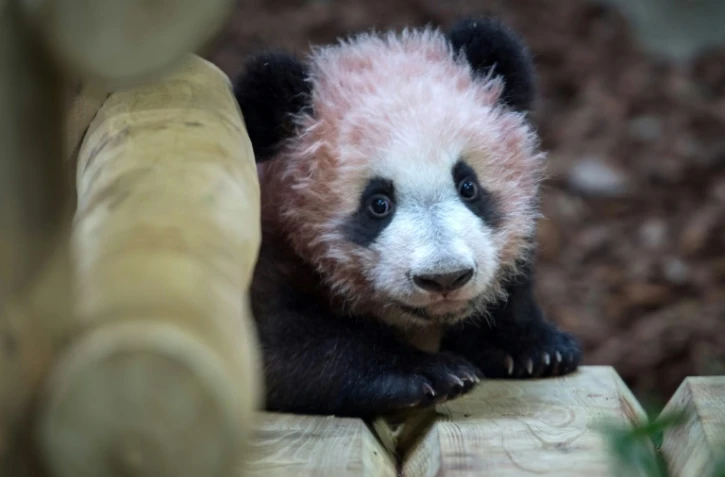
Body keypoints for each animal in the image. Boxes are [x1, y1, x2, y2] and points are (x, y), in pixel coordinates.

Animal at [234, 16, 582, 418]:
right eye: (378, 204)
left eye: (468, 186)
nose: (445, 277)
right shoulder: (264, 252)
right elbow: (284, 347)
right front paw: (430, 373)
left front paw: (536, 349)